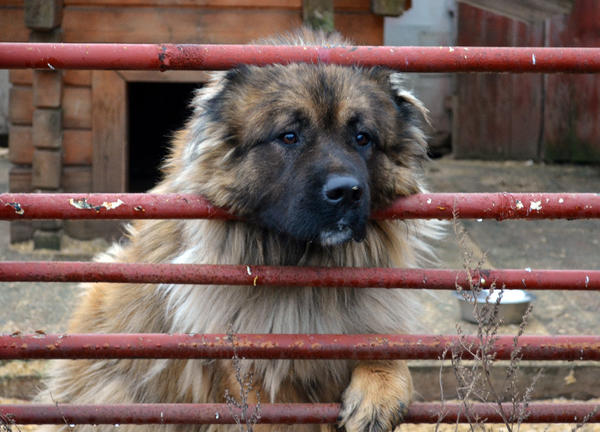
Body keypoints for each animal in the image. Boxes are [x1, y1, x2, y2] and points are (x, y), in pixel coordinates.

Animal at [38, 28, 440, 430]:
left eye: (362, 138)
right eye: (289, 136)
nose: (346, 192)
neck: (305, 273)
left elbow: (390, 354)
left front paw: (379, 391)